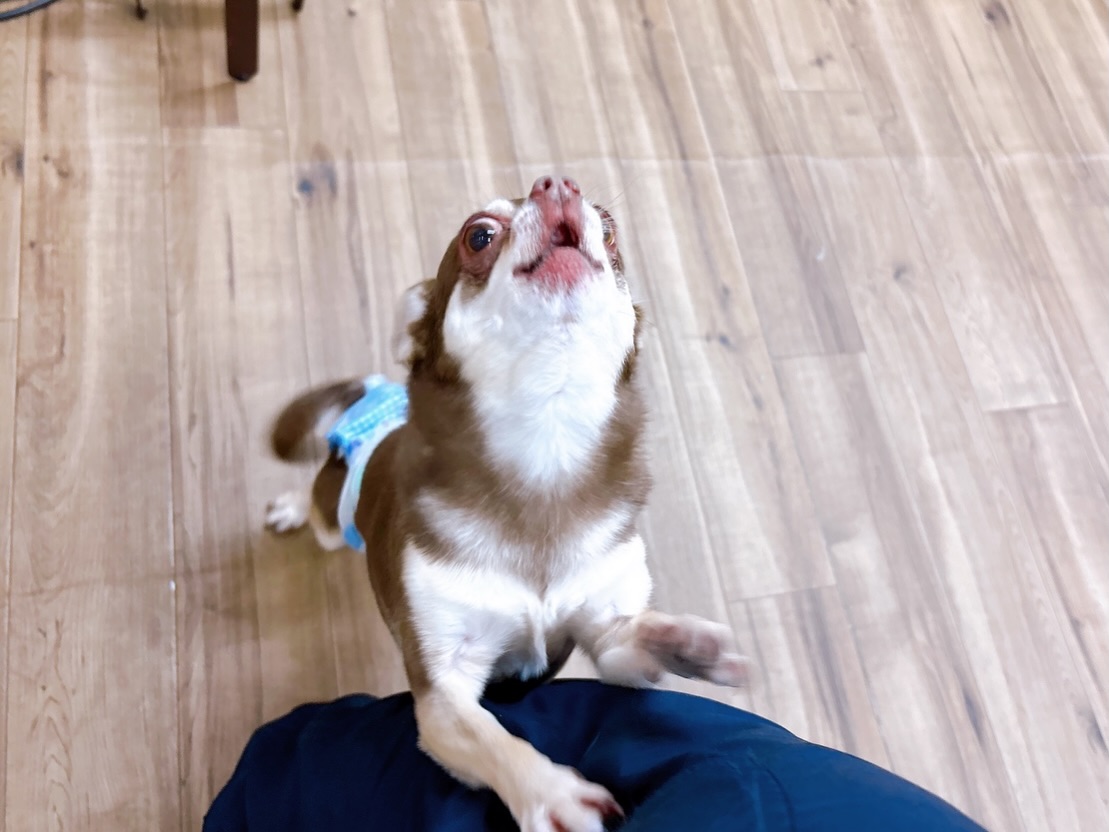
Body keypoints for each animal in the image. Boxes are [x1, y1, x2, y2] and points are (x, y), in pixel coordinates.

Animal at [265, 175, 749, 832]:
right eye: (479, 235)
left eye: (610, 229)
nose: (558, 183)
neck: (546, 443)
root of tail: (378, 404)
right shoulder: (443, 694)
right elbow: (493, 740)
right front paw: (552, 794)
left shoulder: (606, 635)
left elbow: (630, 641)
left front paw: (682, 641)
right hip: (331, 517)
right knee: (314, 507)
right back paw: (290, 509)